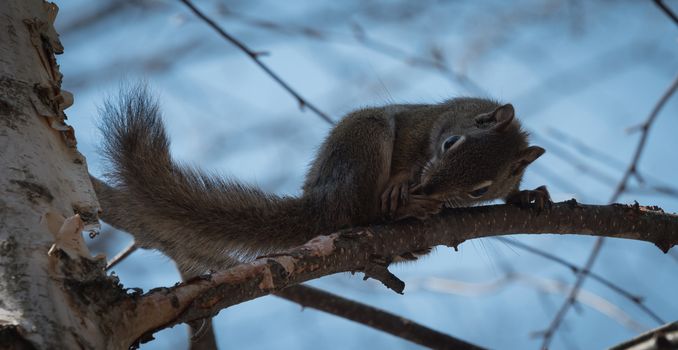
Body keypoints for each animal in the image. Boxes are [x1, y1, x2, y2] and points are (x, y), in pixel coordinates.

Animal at [91, 86, 548, 274]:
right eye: (451, 142)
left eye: (481, 191)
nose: (428, 188)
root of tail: (319, 204)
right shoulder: (421, 124)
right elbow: (406, 149)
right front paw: (403, 183)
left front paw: (529, 196)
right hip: (364, 140)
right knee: (360, 209)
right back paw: (404, 204)